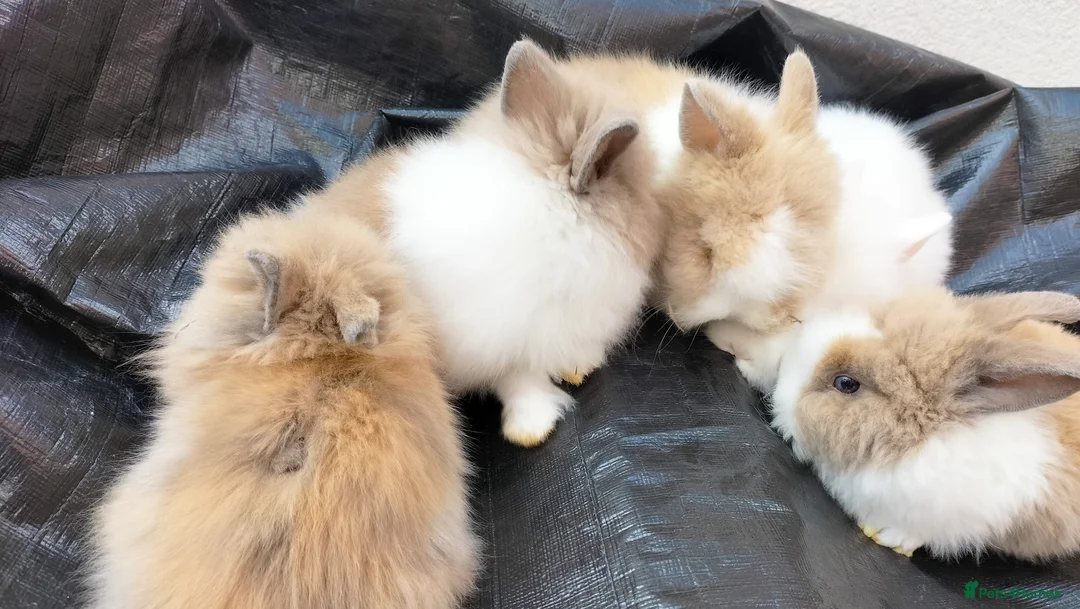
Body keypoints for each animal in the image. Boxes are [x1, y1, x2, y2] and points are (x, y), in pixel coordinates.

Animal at [302, 39, 664, 447]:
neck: (551, 211)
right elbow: (516, 377)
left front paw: (578, 366)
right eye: (639, 191)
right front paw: (531, 429)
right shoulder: (492, 333)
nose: (659, 227)